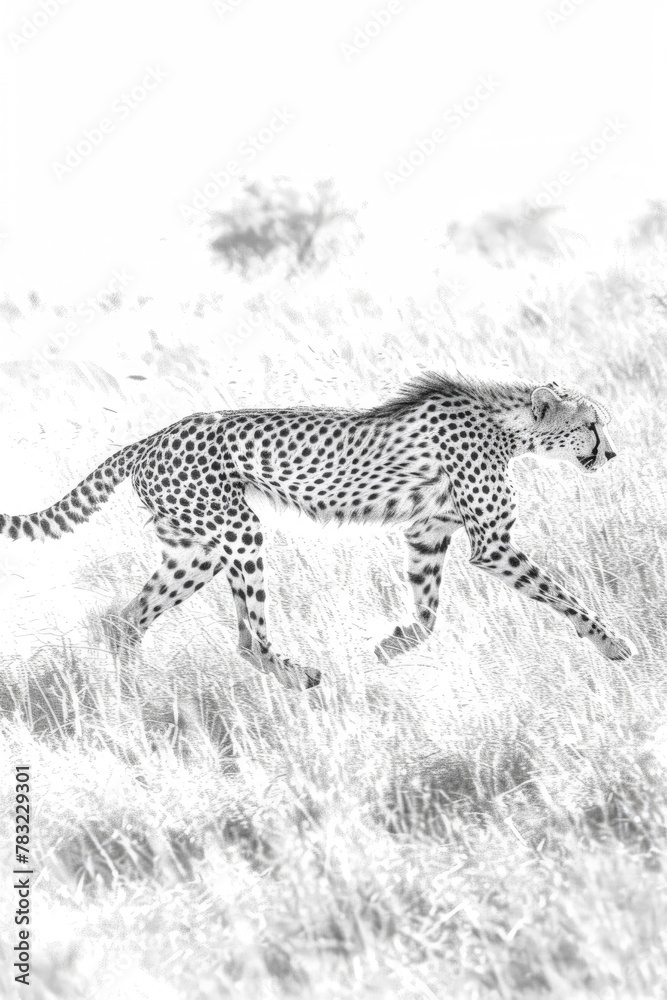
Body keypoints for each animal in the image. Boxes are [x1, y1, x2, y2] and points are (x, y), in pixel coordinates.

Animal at [0, 372, 636, 689]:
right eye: (591, 424)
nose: (611, 453)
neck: (507, 425)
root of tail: (147, 439)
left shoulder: (426, 533)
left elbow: (428, 613)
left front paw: (391, 644)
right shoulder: (493, 544)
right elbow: (563, 595)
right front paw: (614, 644)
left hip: (196, 551)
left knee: (128, 618)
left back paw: (135, 693)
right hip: (238, 531)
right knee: (247, 638)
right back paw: (299, 674)